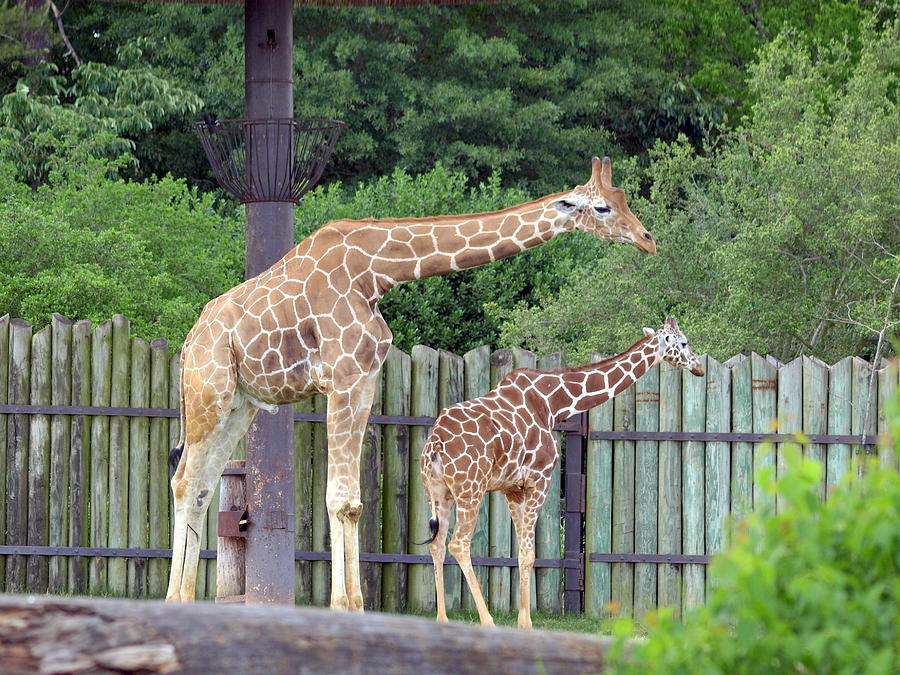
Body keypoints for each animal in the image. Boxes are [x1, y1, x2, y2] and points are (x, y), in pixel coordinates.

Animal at [165, 157, 652, 608]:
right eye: (604, 207)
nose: (647, 239)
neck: (376, 271)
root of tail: (189, 342)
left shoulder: (363, 379)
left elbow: (353, 501)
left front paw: (357, 606)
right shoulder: (341, 377)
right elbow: (337, 497)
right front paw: (341, 606)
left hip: (240, 403)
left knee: (203, 486)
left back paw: (185, 597)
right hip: (209, 392)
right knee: (184, 481)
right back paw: (174, 599)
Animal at [418, 316, 708, 628]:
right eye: (684, 342)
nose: (699, 367)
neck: (553, 404)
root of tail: (435, 444)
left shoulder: (512, 487)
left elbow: (522, 552)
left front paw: (522, 619)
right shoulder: (540, 478)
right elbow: (529, 553)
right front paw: (526, 624)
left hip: (438, 492)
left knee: (436, 545)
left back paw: (442, 620)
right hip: (470, 488)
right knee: (458, 544)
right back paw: (487, 621)